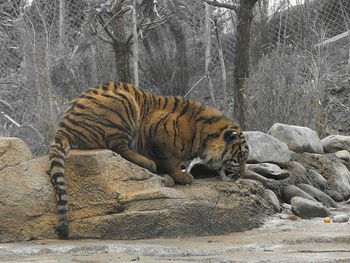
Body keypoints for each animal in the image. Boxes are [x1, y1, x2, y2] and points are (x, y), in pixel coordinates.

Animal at [48, 81, 249, 240]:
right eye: (240, 158)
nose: (242, 174)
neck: (203, 134)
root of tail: (63, 127)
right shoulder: (159, 131)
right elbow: (172, 160)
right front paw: (183, 176)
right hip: (124, 104)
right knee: (117, 147)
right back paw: (148, 164)